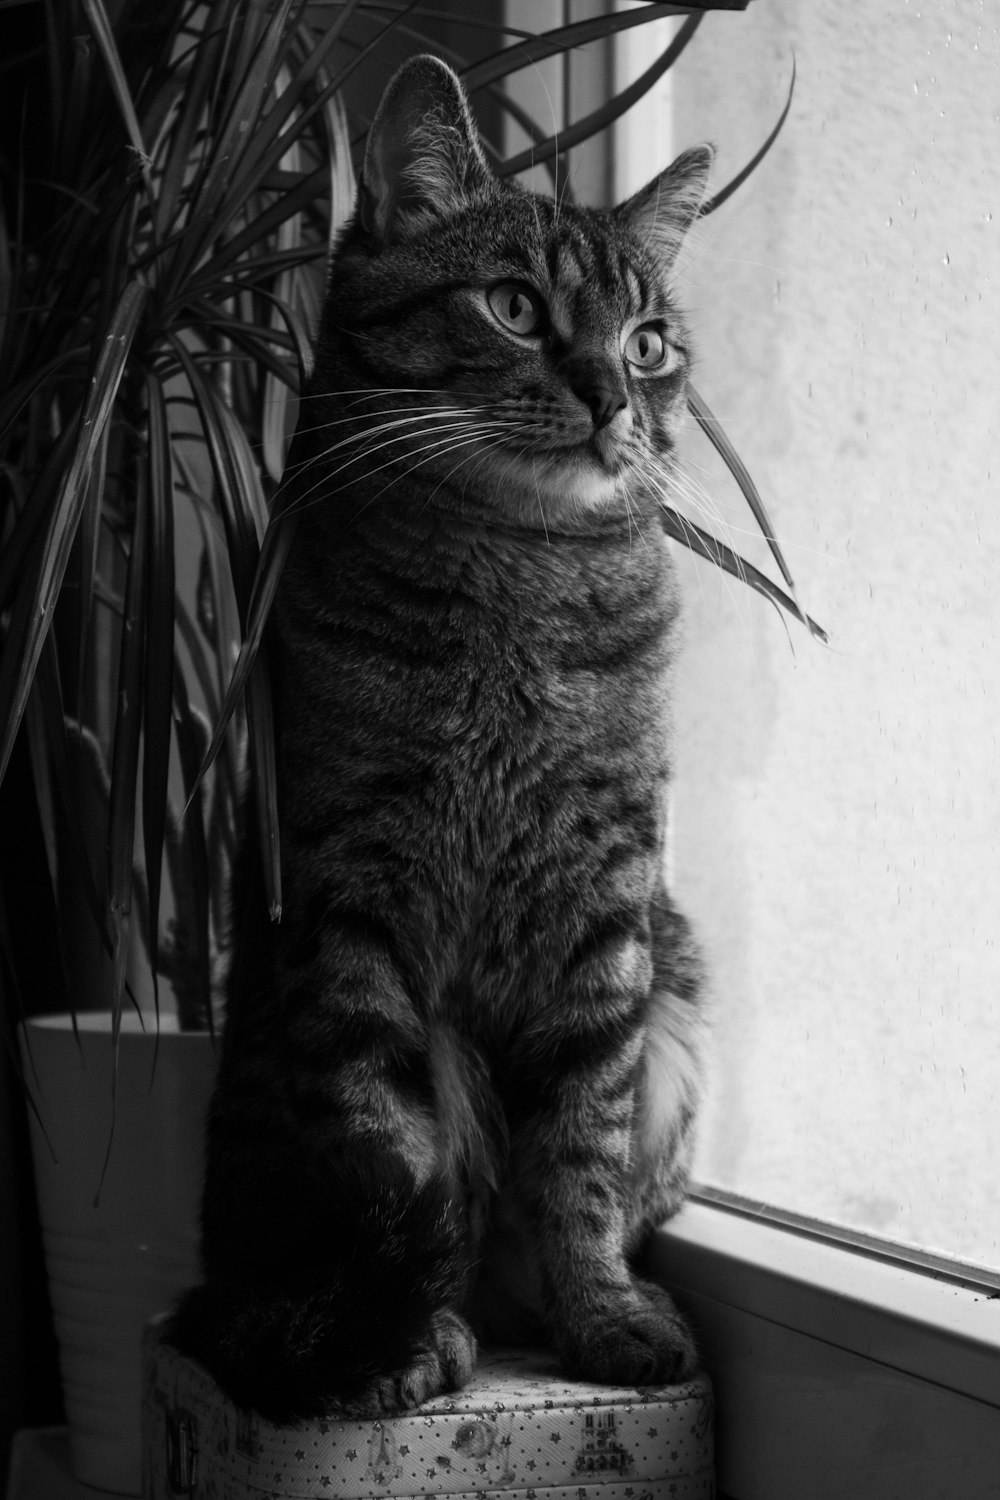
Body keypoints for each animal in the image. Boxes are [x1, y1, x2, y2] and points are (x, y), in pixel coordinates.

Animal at [166, 52, 710, 1422]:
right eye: (515, 307)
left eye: (648, 342)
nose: (611, 396)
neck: (514, 580)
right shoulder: (351, 903)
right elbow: (390, 1145)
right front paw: (405, 1341)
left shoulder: (608, 905)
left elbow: (581, 1145)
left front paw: (605, 1314)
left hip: (683, 1000)